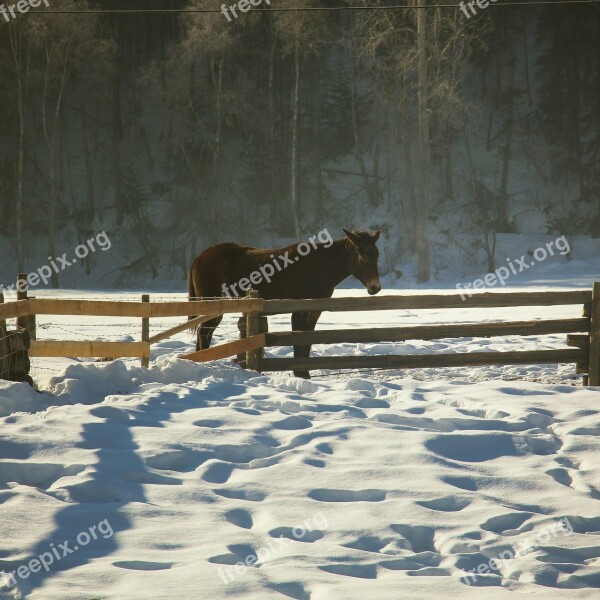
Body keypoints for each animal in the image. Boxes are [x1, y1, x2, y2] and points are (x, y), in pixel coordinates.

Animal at [190, 227, 382, 378]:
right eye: (362, 255)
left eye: (376, 254)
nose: (375, 287)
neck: (317, 267)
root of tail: (200, 257)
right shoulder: (299, 310)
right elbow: (298, 339)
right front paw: (300, 372)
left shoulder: (315, 311)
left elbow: (308, 339)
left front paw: (305, 372)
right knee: (204, 334)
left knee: (205, 334)